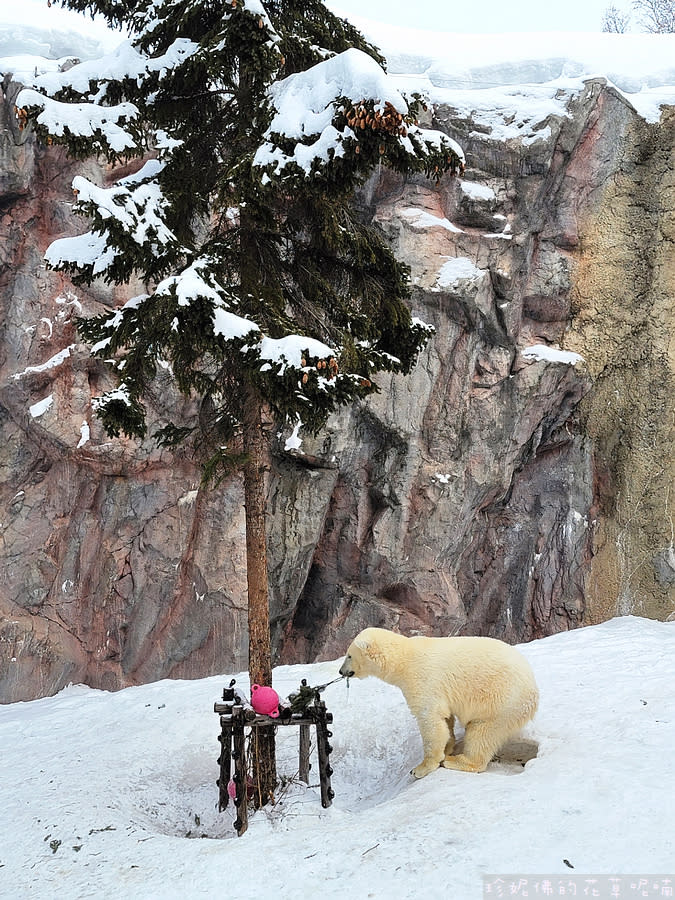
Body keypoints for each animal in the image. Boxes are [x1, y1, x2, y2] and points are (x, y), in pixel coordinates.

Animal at [340, 624, 540, 780]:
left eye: (349, 655)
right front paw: (448, 746)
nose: (341, 671)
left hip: (501, 701)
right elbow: (446, 718)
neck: (404, 659)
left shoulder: (423, 680)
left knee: (482, 733)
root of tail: (533, 692)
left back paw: (457, 761)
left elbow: (431, 722)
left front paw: (420, 768)